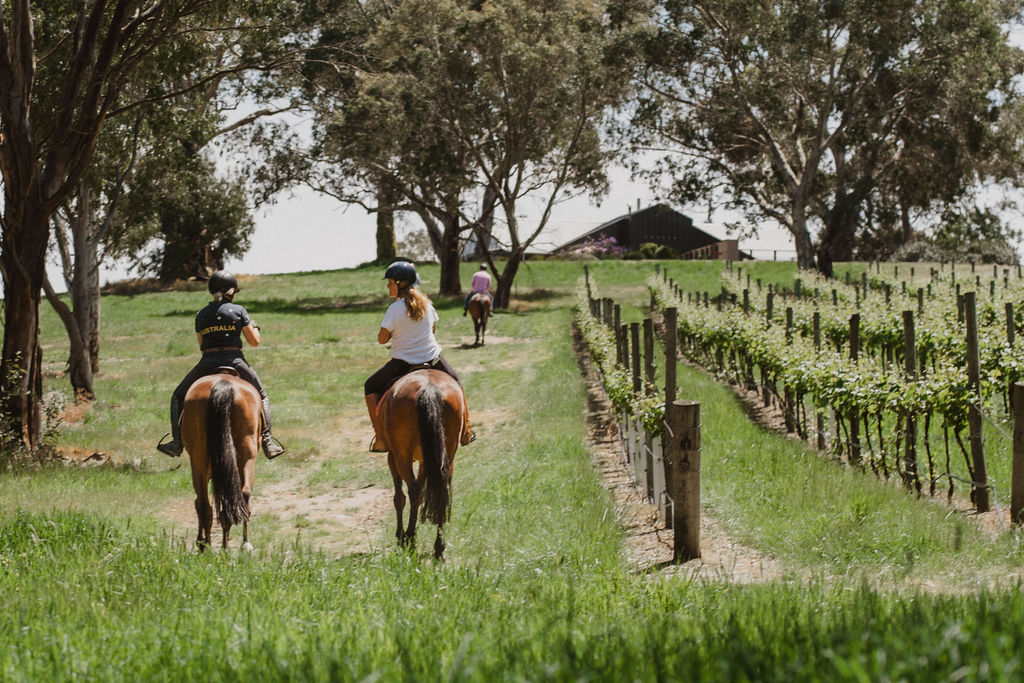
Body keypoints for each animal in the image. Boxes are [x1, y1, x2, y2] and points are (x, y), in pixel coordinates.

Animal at [181, 370, 260, 552]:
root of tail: (223, 385)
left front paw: (201, 541)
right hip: (247, 454)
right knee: (243, 495)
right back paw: (241, 544)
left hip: (199, 462)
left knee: (205, 504)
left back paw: (208, 546)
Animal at [376, 368, 464, 561]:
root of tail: (428, 387)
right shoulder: (426, 460)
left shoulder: (392, 457)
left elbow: (399, 497)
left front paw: (400, 535)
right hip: (447, 453)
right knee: (441, 490)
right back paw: (439, 547)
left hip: (401, 455)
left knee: (413, 491)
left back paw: (409, 540)